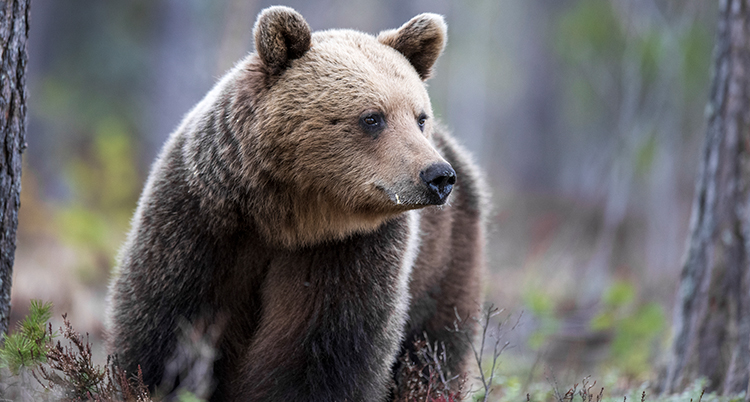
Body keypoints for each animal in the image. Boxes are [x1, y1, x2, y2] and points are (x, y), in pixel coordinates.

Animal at [108, 6, 490, 402]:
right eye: (372, 117)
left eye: (419, 117)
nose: (438, 176)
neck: (287, 218)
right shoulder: (200, 224)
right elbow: (164, 328)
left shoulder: (348, 253)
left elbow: (322, 353)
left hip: (446, 259)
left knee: (436, 346)